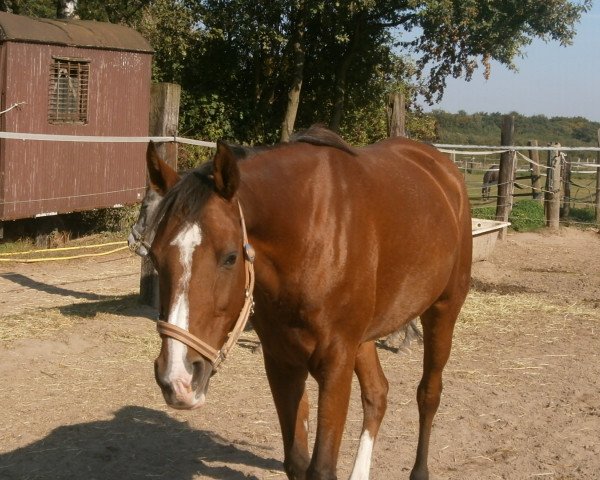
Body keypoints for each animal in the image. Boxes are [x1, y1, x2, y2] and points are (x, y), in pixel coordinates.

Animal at [148, 126, 472, 480]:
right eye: (154, 257)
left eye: (230, 257)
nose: (177, 378)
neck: (310, 234)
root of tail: (443, 169)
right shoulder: (282, 363)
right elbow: (297, 462)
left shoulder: (335, 365)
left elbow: (321, 468)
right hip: (364, 338)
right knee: (377, 394)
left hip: (443, 310)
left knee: (428, 393)